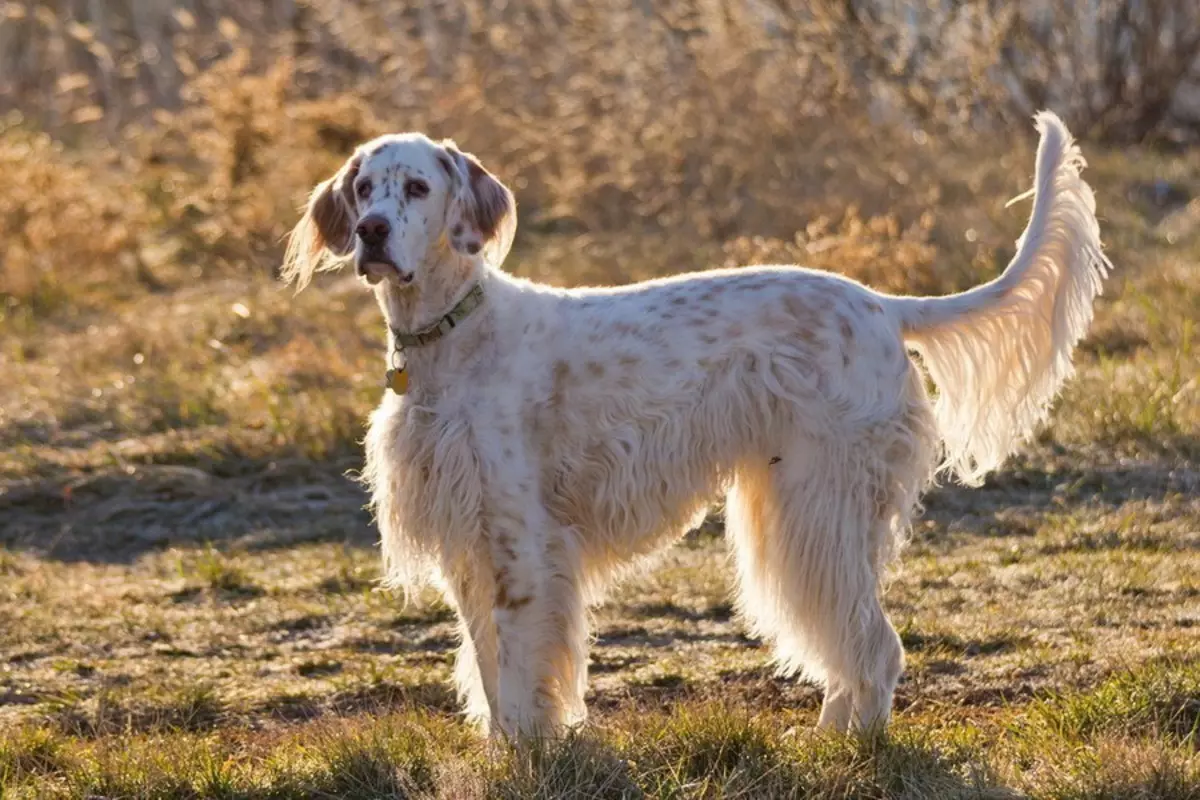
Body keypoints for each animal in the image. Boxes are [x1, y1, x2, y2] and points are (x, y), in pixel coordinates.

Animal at [285, 110, 1108, 738]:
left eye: (418, 187)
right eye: (363, 187)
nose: (371, 231)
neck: (452, 340)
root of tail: (882, 303)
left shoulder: (521, 545)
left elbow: (518, 681)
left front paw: (528, 753)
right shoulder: (469, 547)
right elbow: (490, 673)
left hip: (819, 506)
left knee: (875, 646)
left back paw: (852, 746)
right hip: (800, 510)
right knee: (854, 644)